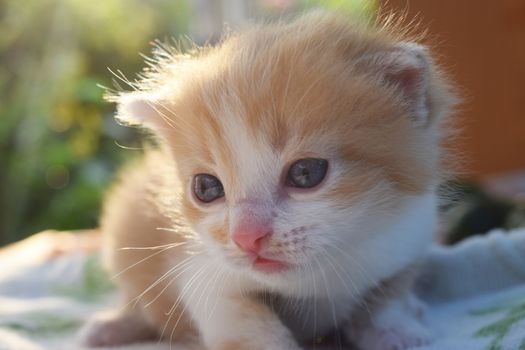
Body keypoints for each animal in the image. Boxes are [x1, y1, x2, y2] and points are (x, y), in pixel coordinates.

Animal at [81, 10, 454, 350]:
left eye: (305, 173)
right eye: (207, 188)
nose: (247, 237)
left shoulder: (409, 237)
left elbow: (389, 295)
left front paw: (395, 327)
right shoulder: (201, 269)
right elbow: (243, 320)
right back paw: (110, 327)